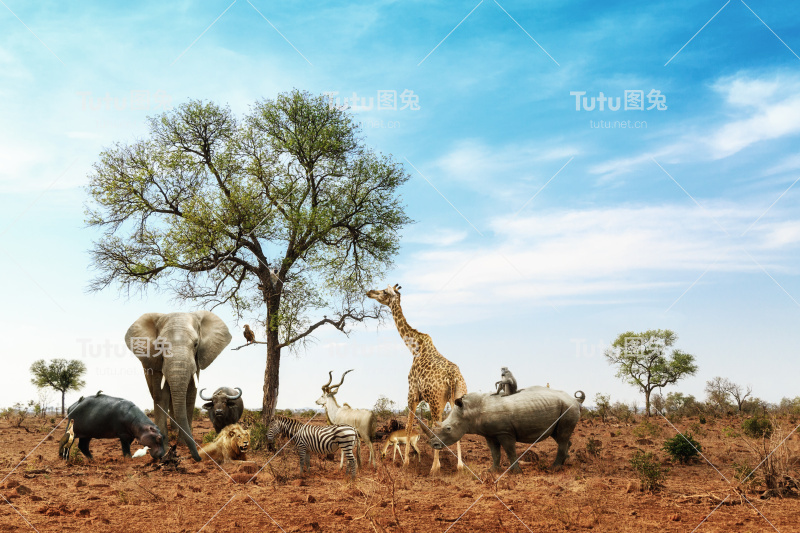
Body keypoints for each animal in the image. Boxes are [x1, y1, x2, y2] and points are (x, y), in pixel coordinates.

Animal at [124, 312, 231, 462]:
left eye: (196, 344)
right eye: (160, 345)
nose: (199, 458)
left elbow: (190, 394)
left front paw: (182, 443)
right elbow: (161, 395)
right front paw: (163, 450)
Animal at [366, 282, 466, 474]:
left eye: (384, 292)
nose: (370, 292)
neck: (414, 348)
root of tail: (453, 378)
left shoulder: (412, 394)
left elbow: (408, 426)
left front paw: (405, 464)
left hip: (436, 402)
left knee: (437, 427)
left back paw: (435, 468)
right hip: (457, 397)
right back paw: (460, 466)